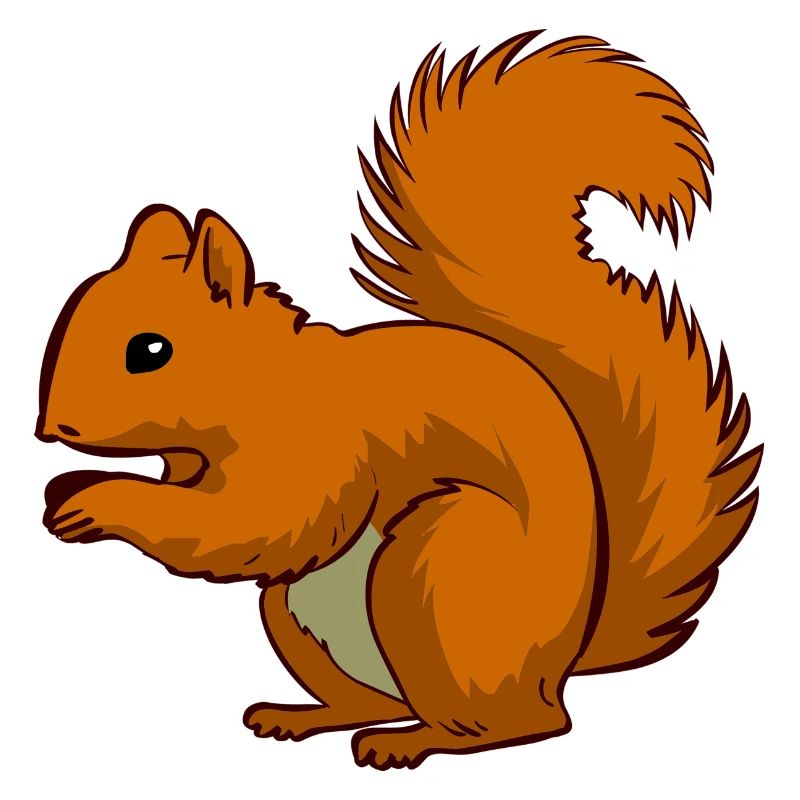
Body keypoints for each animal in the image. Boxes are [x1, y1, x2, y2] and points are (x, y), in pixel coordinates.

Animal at [36, 32, 762, 769]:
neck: (265, 383)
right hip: (294, 614)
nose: (50, 428)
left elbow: (250, 526)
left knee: (522, 724)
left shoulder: (317, 452)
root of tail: (563, 660)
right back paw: (307, 717)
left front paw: (95, 498)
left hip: (435, 572)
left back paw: (412, 742)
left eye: (150, 351)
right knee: (382, 702)